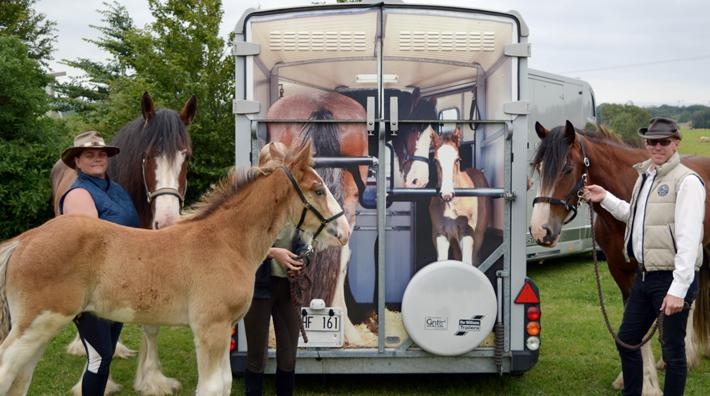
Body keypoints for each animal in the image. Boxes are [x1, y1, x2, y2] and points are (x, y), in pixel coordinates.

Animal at [0, 141, 350, 394]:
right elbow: (212, 387)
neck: (226, 241)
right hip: (36, 324)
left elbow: (223, 385)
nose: (344, 231)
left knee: (20, 378)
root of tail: (25, 240)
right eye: (319, 190)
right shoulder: (210, 327)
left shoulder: (223, 327)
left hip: (42, 329)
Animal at [428, 127, 490, 266]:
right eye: (435, 160)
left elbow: (467, 262)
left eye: (457, 159)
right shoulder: (440, 234)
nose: (447, 195)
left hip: (478, 236)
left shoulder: (467, 233)